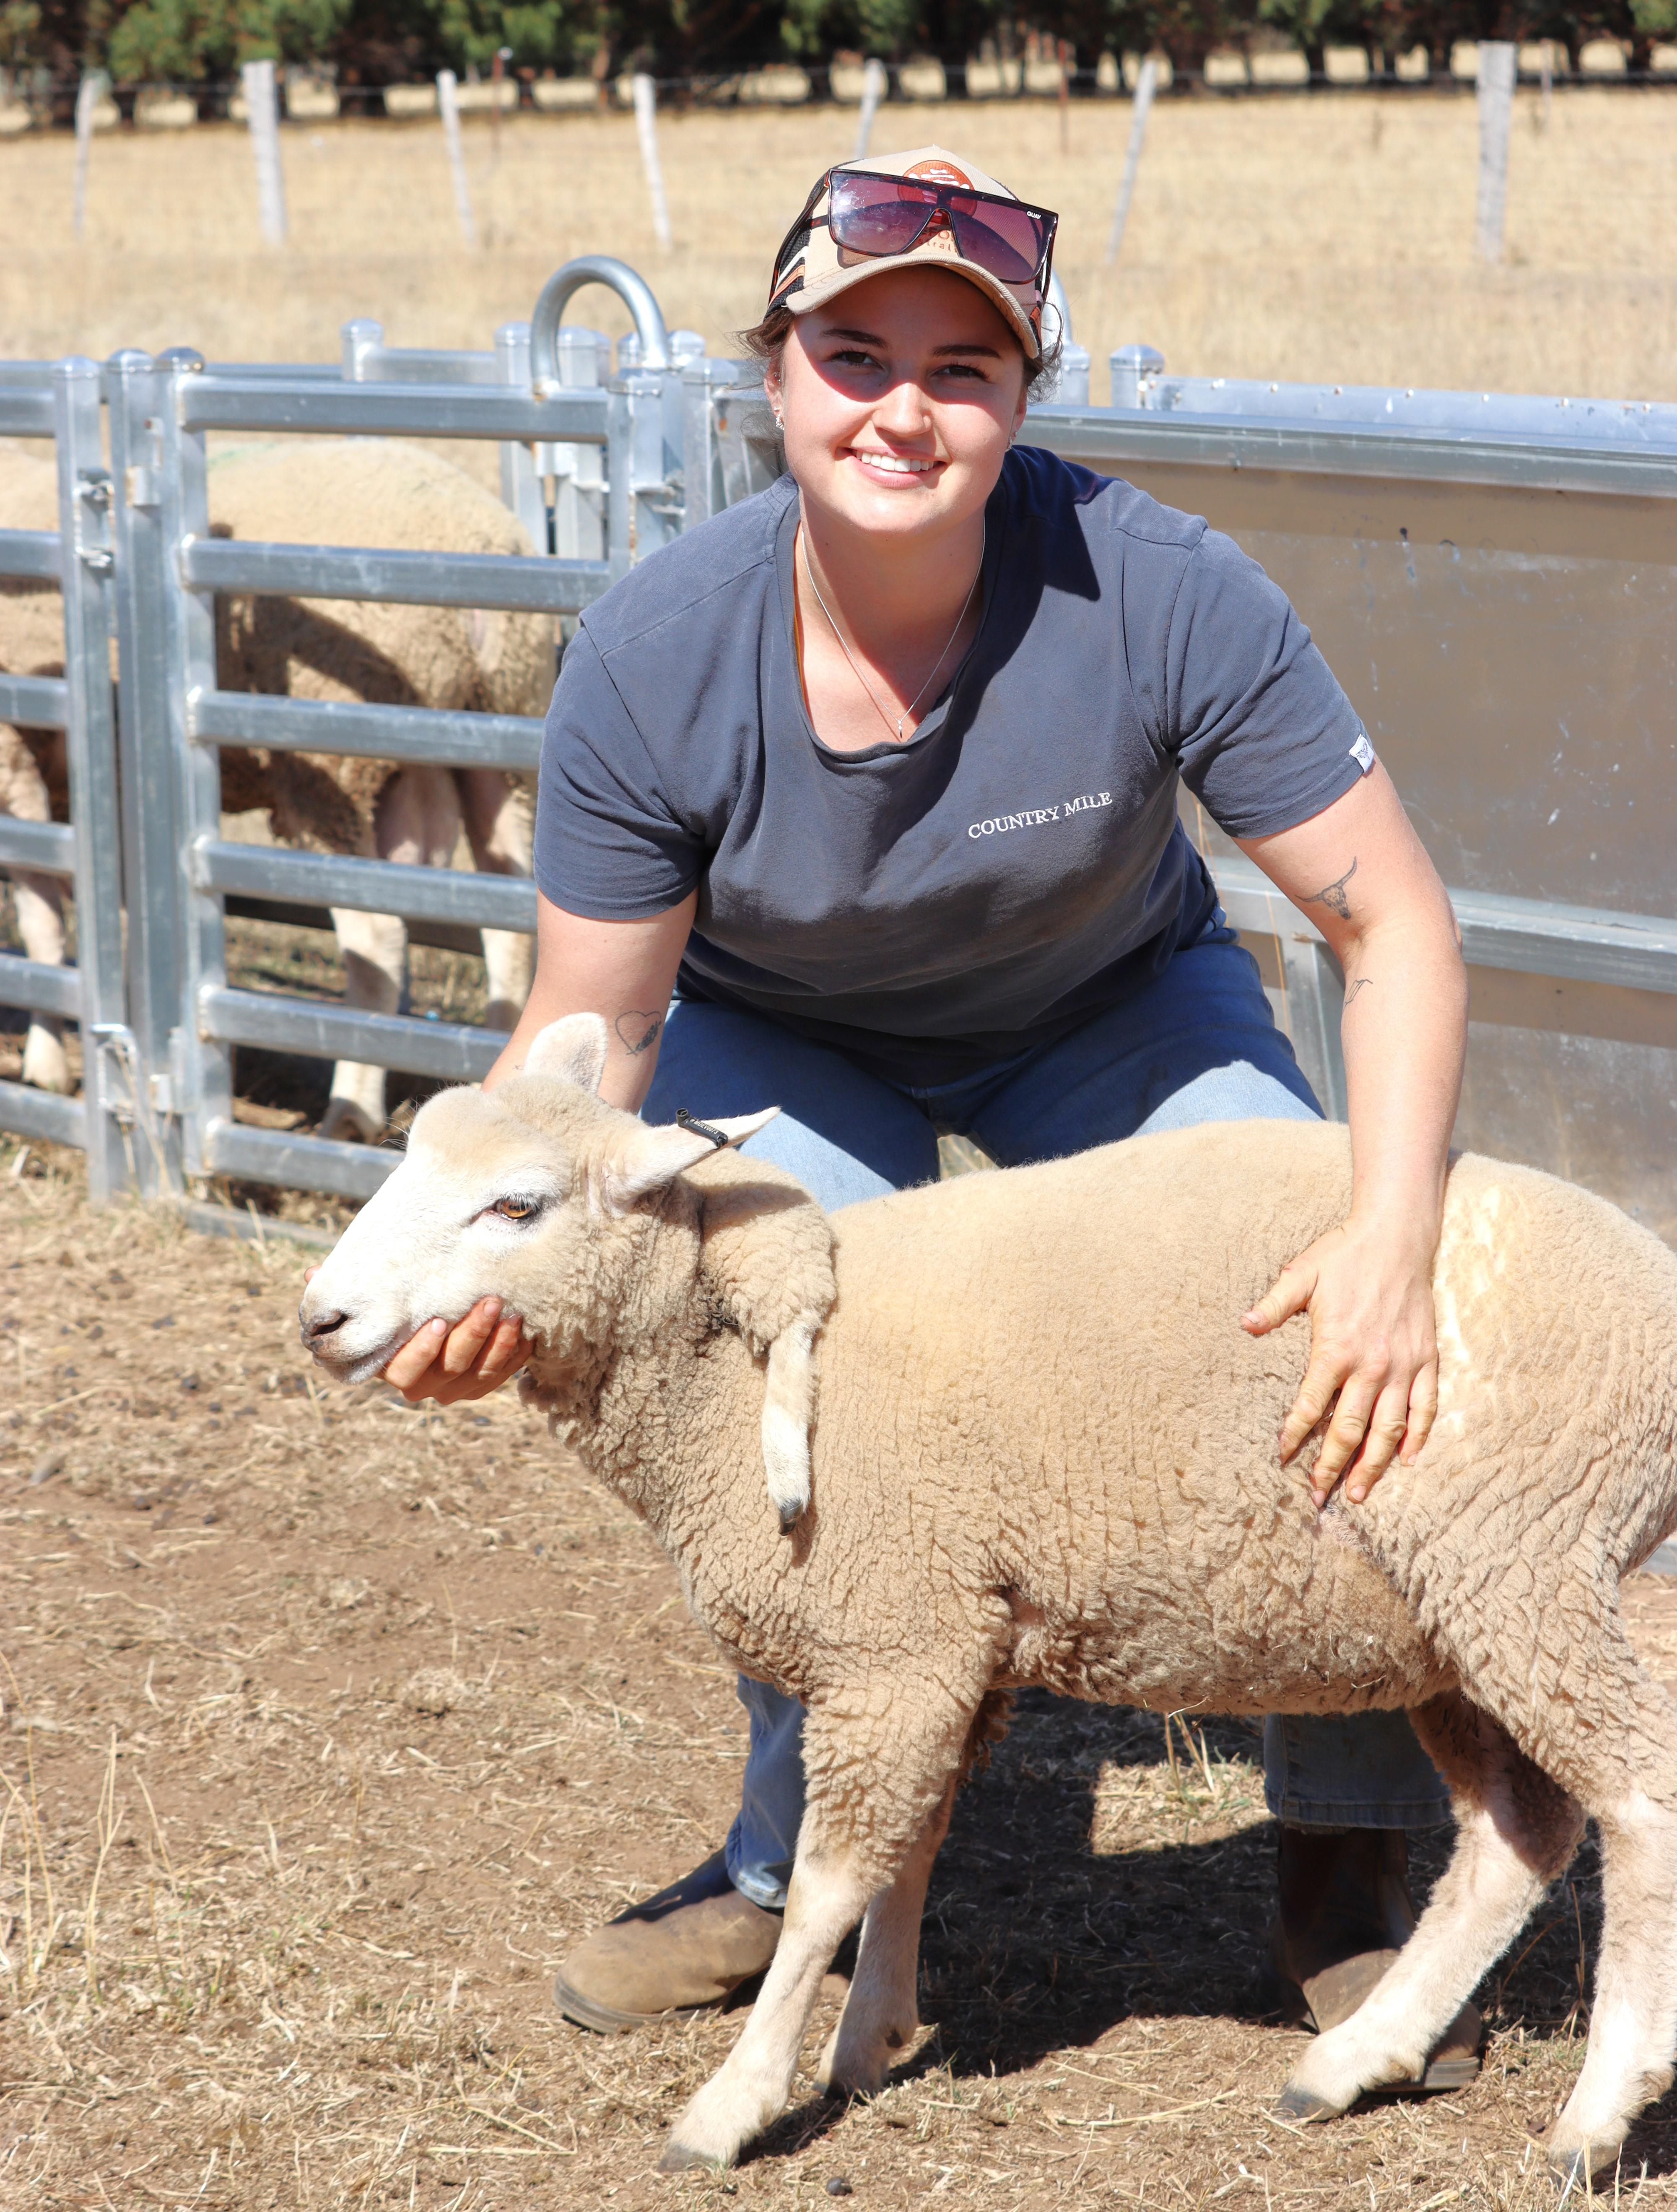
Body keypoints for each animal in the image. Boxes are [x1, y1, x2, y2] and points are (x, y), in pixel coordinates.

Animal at [0, 435, 551, 1137]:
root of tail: (483, 539)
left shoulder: (17, 760)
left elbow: (43, 926)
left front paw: (47, 1063)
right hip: (483, 740)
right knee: (511, 928)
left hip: (332, 764)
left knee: (377, 941)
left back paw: (348, 1113)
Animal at [297, 1011, 1677, 2188]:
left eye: (515, 1204)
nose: (321, 1317)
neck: (719, 1368)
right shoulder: (937, 1640)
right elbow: (907, 1849)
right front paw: (868, 2041)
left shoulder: (889, 1640)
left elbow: (828, 1885)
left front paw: (734, 2102)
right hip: (1446, 1613)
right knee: (1517, 1834)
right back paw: (1351, 2062)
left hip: (1525, 1564)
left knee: (1641, 1804)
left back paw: (1591, 2119)